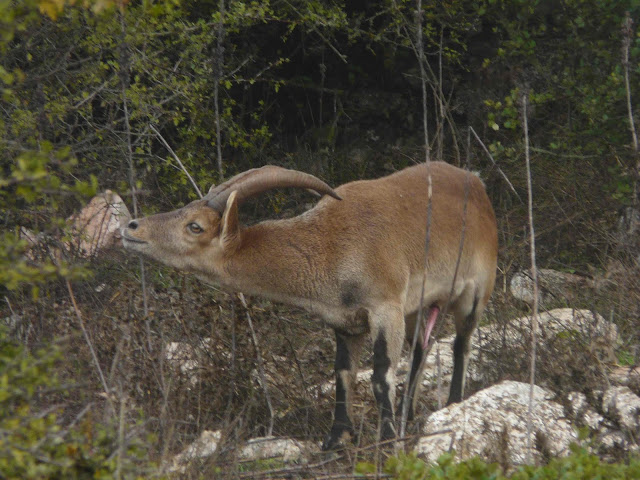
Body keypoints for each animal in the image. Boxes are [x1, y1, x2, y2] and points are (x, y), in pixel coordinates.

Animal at [122, 161, 498, 450]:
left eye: (195, 226)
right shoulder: (346, 321)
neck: (330, 247)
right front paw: (336, 439)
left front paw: (387, 441)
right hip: (422, 305)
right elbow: (343, 372)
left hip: (477, 289)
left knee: (462, 344)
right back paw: (410, 411)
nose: (131, 227)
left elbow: (381, 375)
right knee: (422, 347)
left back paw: (453, 403)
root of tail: (478, 183)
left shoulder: (386, 306)